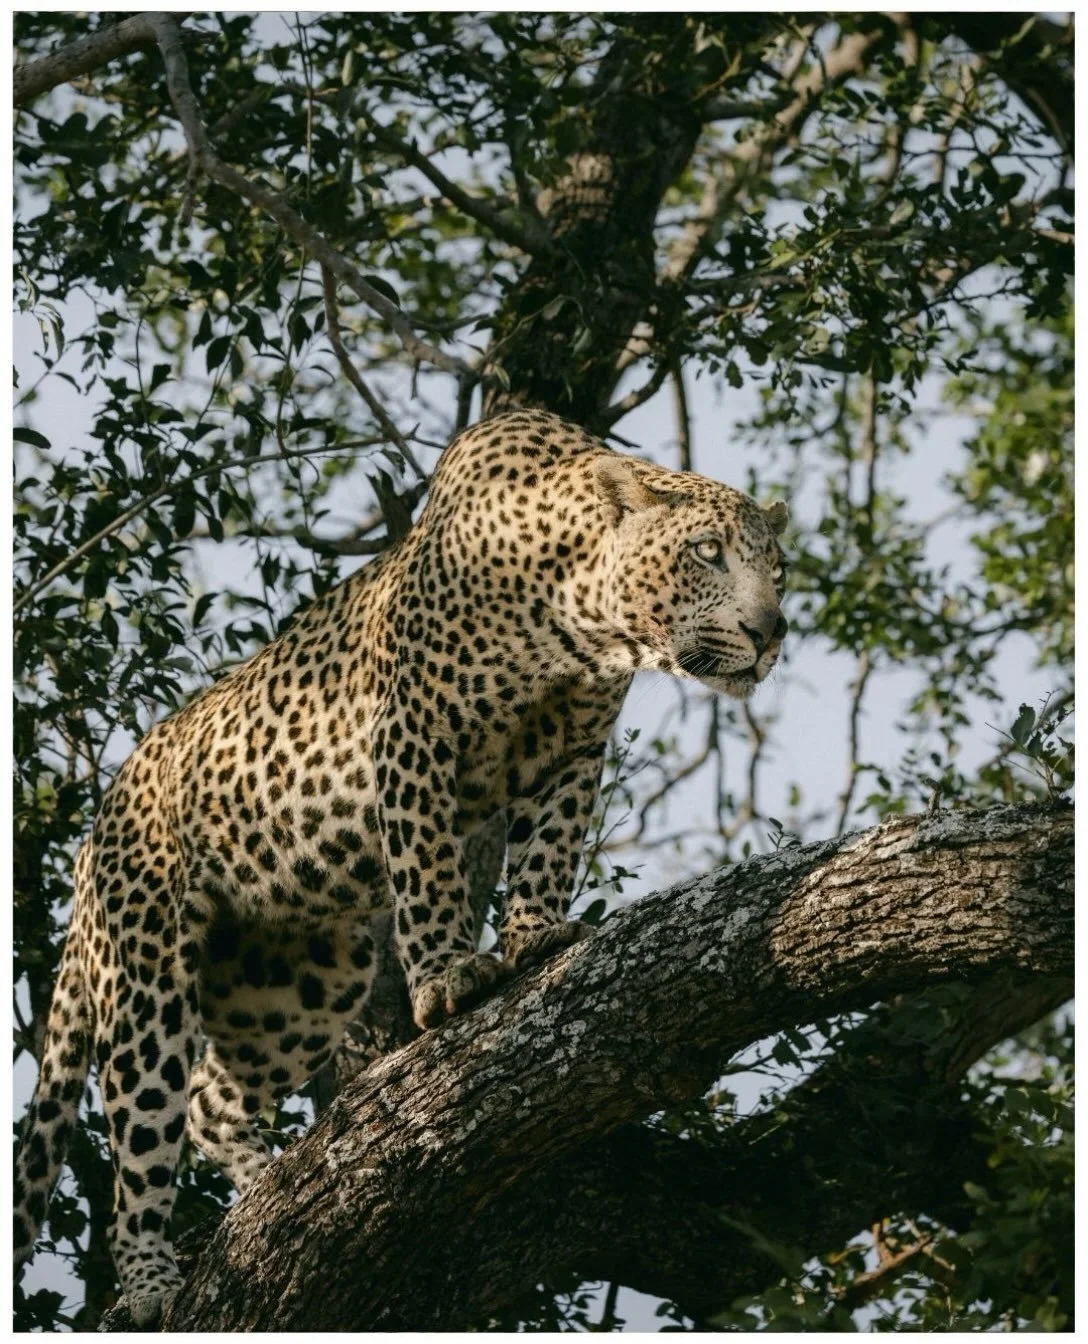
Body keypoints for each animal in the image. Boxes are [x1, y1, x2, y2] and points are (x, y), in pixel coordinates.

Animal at [13, 408, 788, 1326]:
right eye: (707, 553)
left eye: (778, 571)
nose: (772, 632)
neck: (580, 619)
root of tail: (95, 834)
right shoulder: (416, 735)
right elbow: (428, 872)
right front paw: (450, 975)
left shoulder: (573, 751)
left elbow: (548, 850)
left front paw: (536, 934)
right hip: (147, 972)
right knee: (141, 1124)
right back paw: (148, 1284)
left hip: (301, 982)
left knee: (208, 1098)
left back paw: (270, 1188)